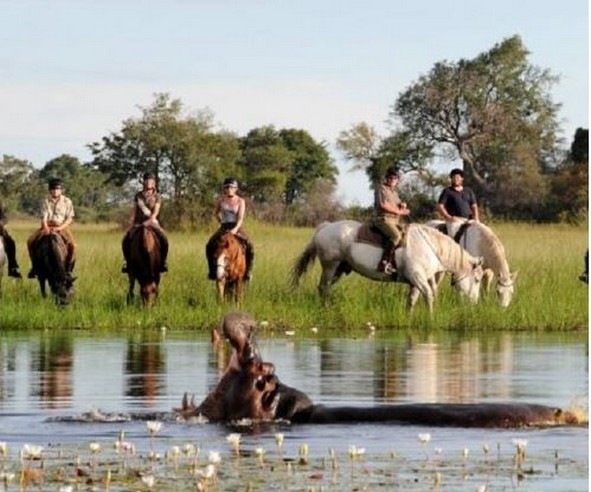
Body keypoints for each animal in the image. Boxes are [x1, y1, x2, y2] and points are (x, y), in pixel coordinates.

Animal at [290, 221, 484, 314]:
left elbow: (412, 300)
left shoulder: (416, 282)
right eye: (476, 279)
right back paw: (326, 309)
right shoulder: (418, 277)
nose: (475, 303)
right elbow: (429, 296)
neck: (430, 247)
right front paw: (431, 317)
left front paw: (409, 317)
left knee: (324, 287)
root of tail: (325, 227)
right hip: (330, 266)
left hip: (338, 269)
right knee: (324, 287)